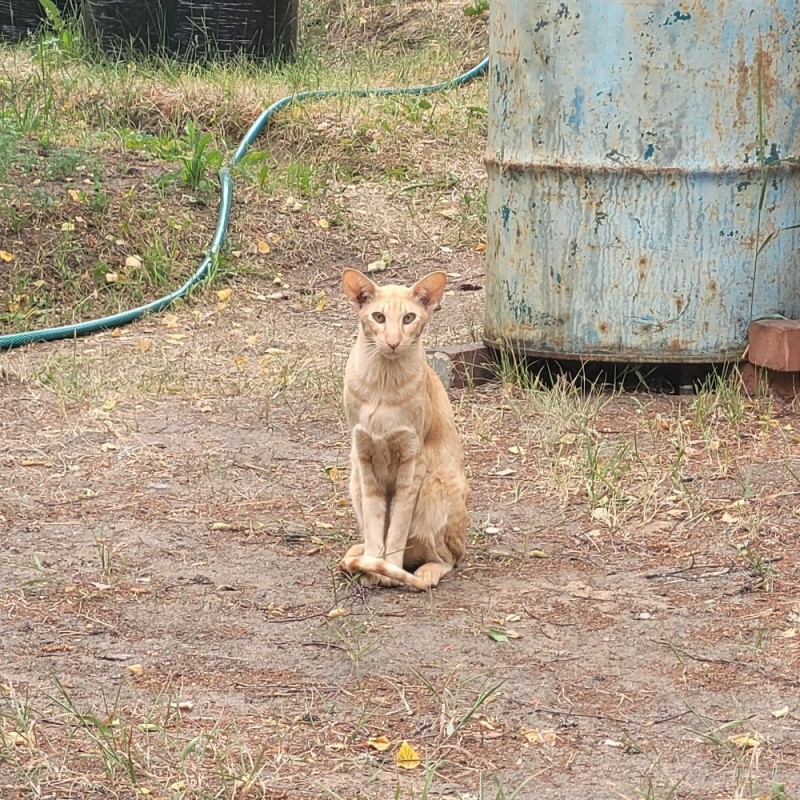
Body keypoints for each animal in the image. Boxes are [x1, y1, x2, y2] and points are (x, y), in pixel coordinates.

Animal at [338, 268, 468, 588]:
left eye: (408, 318)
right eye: (379, 317)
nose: (394, 341)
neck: (383, 383)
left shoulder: (412, 463)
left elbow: (396, 527)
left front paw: (389, 570)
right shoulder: (365, 459)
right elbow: (376, 528)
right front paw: (374, 566)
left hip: (435, 489)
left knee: (448, 558)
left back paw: (424, 572)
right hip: (354, 481)